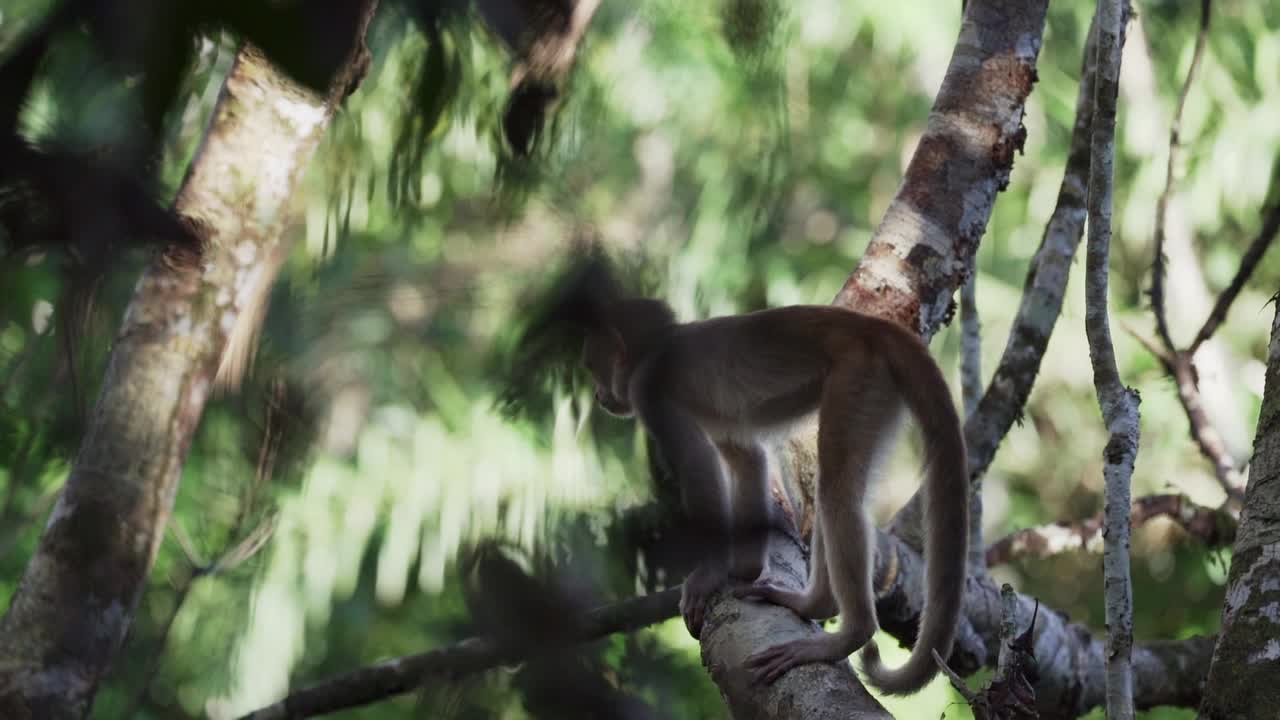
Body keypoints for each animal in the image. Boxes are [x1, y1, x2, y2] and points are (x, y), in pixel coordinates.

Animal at [499, 248, 967, 696]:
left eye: (593, 368)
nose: (599, 396)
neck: (660, 348)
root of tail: (875, 329)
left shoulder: (649, 390)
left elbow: (699, 469)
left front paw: (708, 575)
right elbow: (746, 459)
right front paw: (741, 569)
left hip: (860, 375)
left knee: (837, 491)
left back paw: (846, 632)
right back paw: (812, 605)